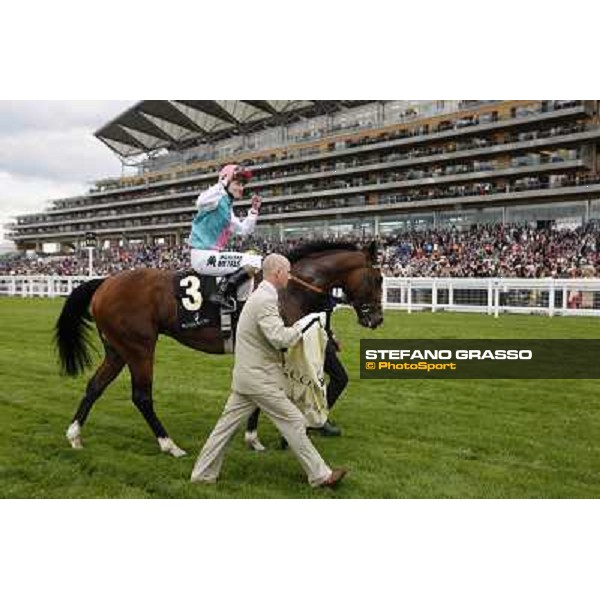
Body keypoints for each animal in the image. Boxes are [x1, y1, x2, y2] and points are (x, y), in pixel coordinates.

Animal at [56, 239, 384, 454]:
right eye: (379, 278)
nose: (377, 318)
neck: (293, 287)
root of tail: (105, 282)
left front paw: (271, 433)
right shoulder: (279, 345)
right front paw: (262, 436)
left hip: (117, 349)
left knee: (95, 386)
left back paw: (74, 435)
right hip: (139, 347)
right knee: (142, 396)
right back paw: (169, 445)